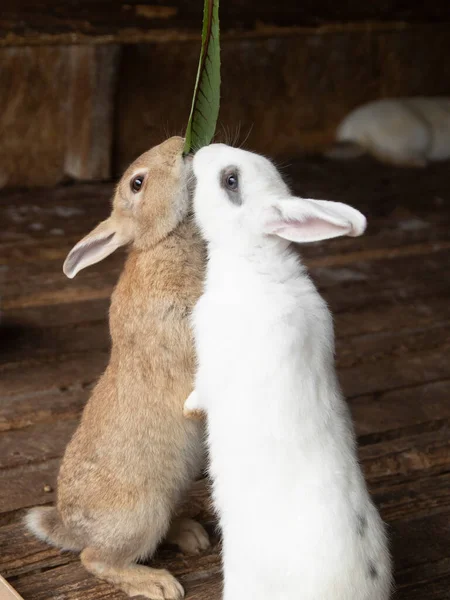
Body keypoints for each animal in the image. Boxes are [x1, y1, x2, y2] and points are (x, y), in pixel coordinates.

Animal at [27, 137, 210, 600]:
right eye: (137, 183)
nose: (182, 146)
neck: (160, 241)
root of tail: (74, 530)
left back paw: (192, 536)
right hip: (141, 513)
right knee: (97, 560)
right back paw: (160, 584)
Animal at [185, 145, 392, 600]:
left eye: (231, 181)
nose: (202, 150)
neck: (255, 262)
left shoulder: (211, 358)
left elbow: (200, 389)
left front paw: (187, 408)